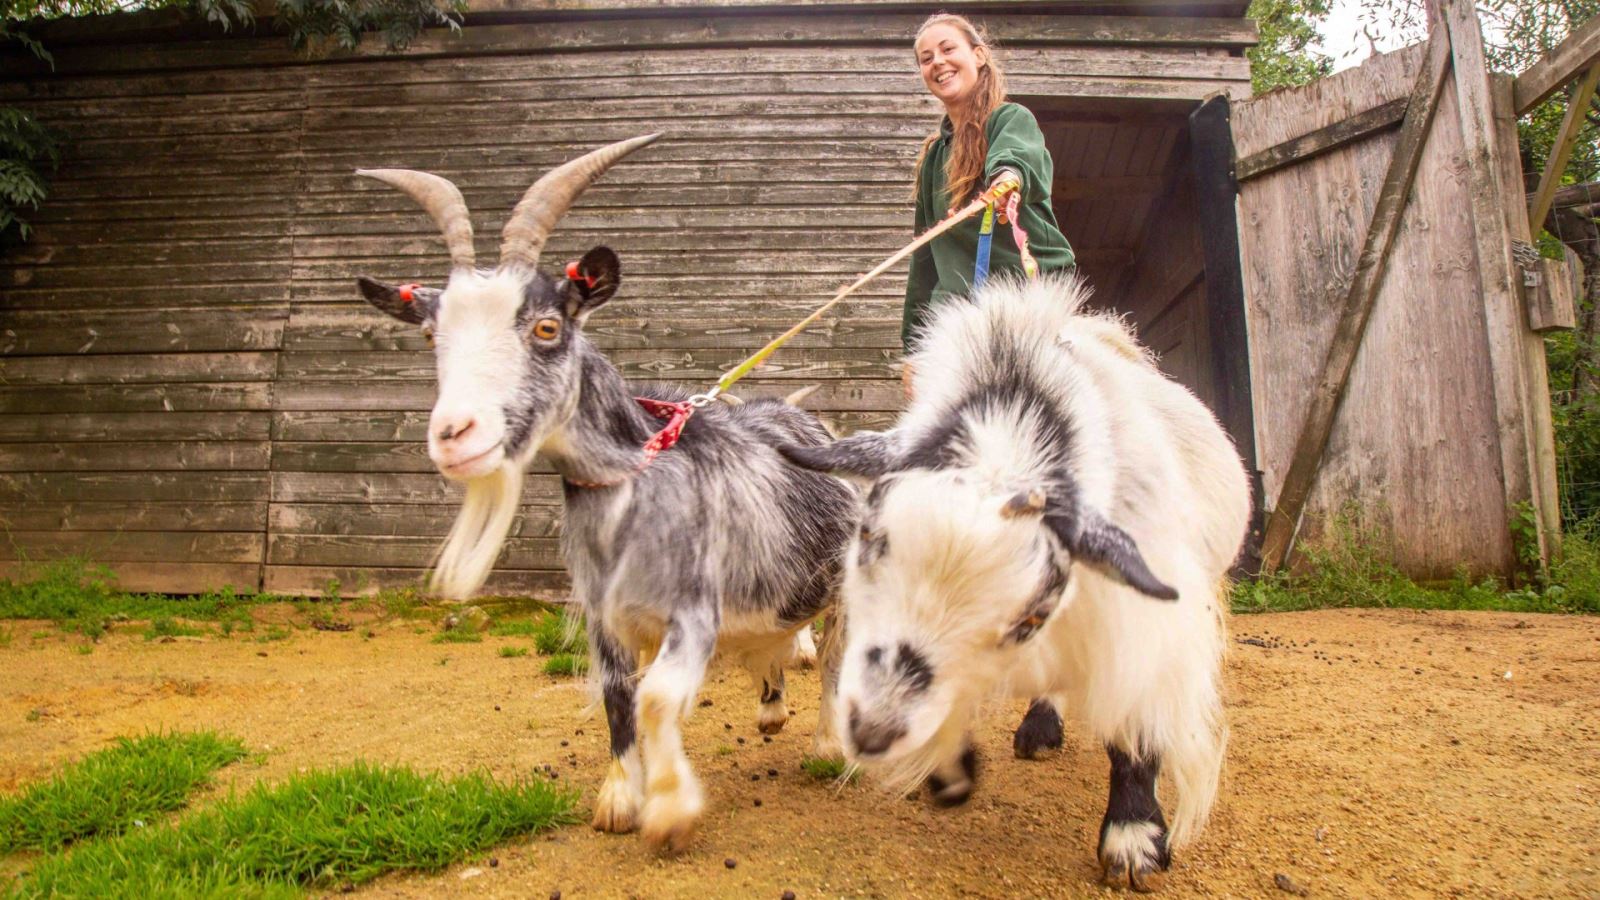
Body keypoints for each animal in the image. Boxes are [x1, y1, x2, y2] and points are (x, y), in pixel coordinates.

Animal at [347, 136, 851, 851]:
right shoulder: (604, 615)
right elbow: (618, 695)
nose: (453, 435)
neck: (633, 496)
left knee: (834, 653)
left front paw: (669, 810)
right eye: (428, 335)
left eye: (548, 328)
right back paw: (773, 711)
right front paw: (618, 800)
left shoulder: (693, 611)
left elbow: (657, 698)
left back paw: (828, 744)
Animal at [780, 275, 1254, 890]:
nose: (872, 731)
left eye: (1029, 615)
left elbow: (1136, 722)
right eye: (870, 540)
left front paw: (1133, 841)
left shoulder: (1147, 620)